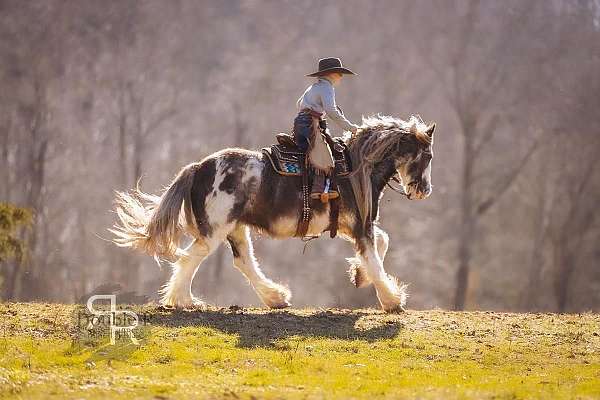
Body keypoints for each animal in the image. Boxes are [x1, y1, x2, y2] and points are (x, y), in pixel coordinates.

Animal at [110, 115, 434, 312]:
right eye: (427, 156)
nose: (424, 190)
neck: (354, 168)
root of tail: (199, 167)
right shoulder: (360, 227)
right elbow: (376, 259)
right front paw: (392, 300)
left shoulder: (351, 227)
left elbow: (382, 242)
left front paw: (359, 275)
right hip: (215, 230)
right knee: (192, 258)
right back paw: (185, 301)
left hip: (236, 228)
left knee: (243, 262)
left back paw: (275, 297)